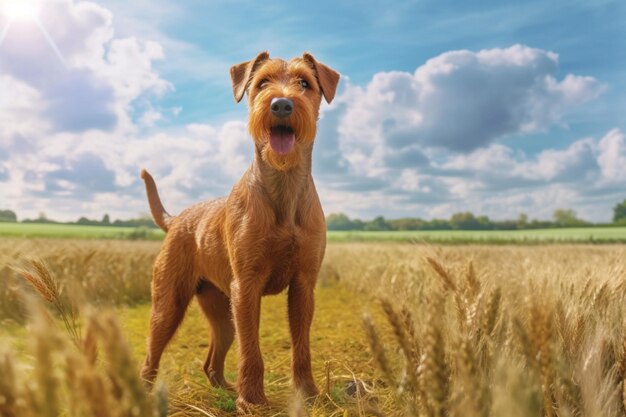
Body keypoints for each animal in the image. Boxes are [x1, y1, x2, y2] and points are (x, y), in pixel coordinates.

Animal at [140, 52, 338, 410]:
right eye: (262, 82)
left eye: (304, 83)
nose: (282, 104)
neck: (284, 188)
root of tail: (177, 219)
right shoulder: (246, 285)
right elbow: (251, 351)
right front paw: (253, 400)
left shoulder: (303, 284)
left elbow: (301, 348)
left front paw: (308, 394)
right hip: (168, 305)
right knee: (151, 355)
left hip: (222, 311)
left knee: (211, 362)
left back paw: (225, 391)